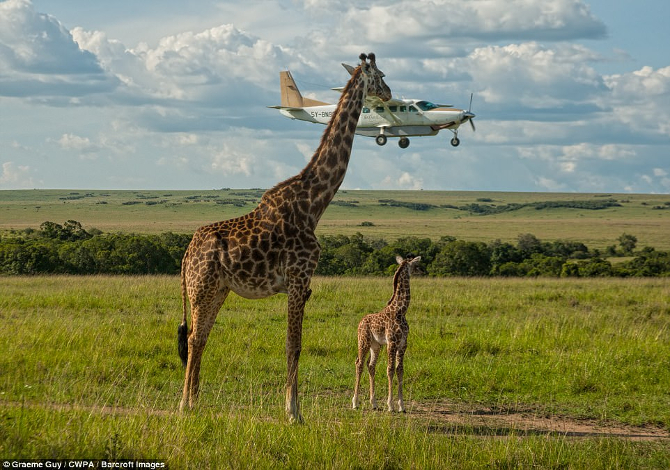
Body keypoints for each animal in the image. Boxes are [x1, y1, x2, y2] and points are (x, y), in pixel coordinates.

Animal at [177, 53, 391, 422]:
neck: (314, 203)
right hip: (200, 288)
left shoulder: (302, 283)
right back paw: (183, 405)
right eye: (379, 75)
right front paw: (294, 412)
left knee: (200, 337)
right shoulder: (298, 278)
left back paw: (194, 402)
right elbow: (295, 344)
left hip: (217, 289)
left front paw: (292, 408)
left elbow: (294, 344)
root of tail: (187, 253)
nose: (390, 94)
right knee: (193, 338)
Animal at [352, 255, 422, 412]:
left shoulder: (403, 344)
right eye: (415, 265)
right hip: (363, 341)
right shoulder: (392, 342)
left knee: (371, 365)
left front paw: (402, 405)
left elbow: (400, 369)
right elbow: (390, 369)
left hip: (376, 345)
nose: (422, 271)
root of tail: (360, 322)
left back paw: (374, 403)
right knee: (359, 363)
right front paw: (390, 405)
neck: (401, 311)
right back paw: (355, 402)